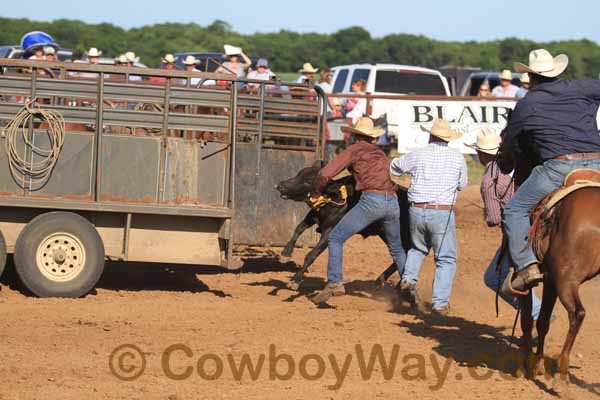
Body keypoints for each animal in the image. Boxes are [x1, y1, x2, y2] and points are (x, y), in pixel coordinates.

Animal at [500, 137, 600, 388]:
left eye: (504, 135)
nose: (500, 161)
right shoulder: (550, 280)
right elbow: (543, 320)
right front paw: (536, 364)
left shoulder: (529, 280)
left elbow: (527, 319)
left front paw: (523, 367)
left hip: (567, 279)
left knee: (578, 313)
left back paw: (562, 372)